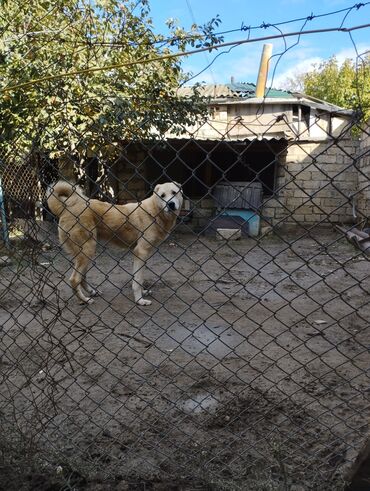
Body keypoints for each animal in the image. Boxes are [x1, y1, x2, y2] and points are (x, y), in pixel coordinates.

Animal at [47, 181, 183, 304]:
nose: (171, 204)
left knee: (82, 277)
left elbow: (138, 278)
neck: (155, 212)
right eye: (162, 195)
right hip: (88, 249)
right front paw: (140, 300)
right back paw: (84, 300)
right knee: (74, 279)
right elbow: (138, 280)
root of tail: (66, 207)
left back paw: (92, 292)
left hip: (85, 253)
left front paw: (143, 293)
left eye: (174, 193)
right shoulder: (141, 252)